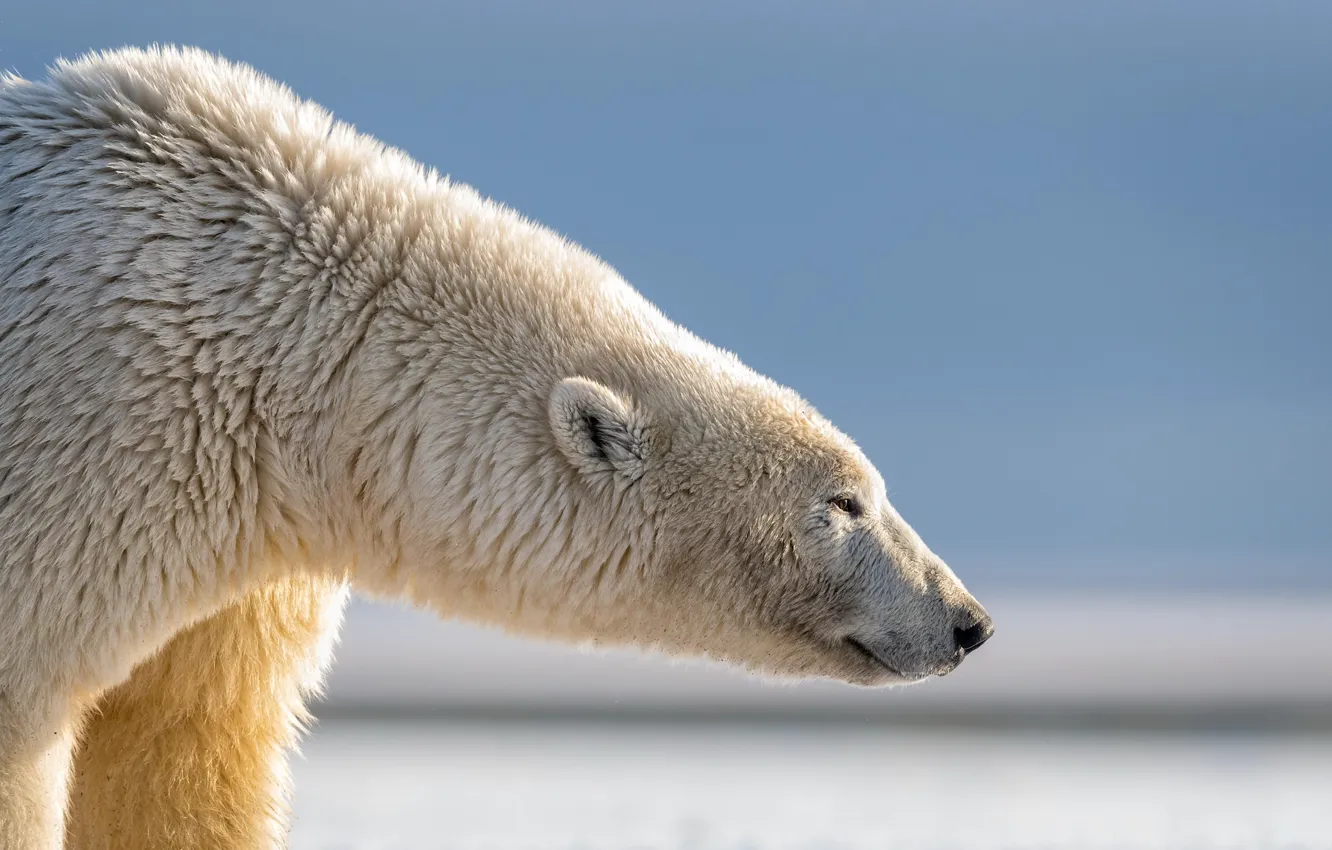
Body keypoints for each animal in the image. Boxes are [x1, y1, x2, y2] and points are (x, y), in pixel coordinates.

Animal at [0, 46, 996, 850]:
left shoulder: (239, 549)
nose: (967, 621)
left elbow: (181, 747)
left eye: (866, 487)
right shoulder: (91, 451)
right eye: (843, 501)